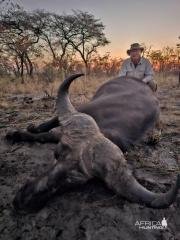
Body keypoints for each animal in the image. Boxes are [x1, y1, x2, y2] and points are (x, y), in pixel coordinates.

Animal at [5, 73, 180, 212]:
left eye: (75, 179)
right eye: (56, 154)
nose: (21, 200)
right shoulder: (79, 113)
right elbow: (44, 133)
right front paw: (17, 133)